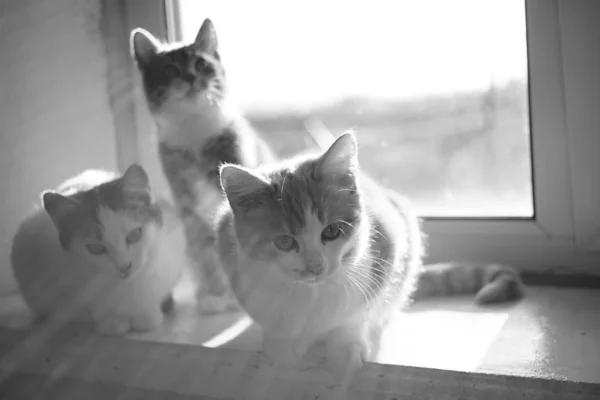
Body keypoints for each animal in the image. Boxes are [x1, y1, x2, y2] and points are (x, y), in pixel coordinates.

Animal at [130, 18, 276, 312]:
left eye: (200, 63)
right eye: (170, 69)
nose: (189, 77)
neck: (194, 129)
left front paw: (233, 298)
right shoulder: (188, 206)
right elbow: (206, 251)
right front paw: (216, 295)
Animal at [213, 132, 424, 384]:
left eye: (331, 231)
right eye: (284, 241)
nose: (315, 265)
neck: (310, 293)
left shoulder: (386, 244)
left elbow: (355, 315)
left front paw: (345, 346)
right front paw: (281, 347)